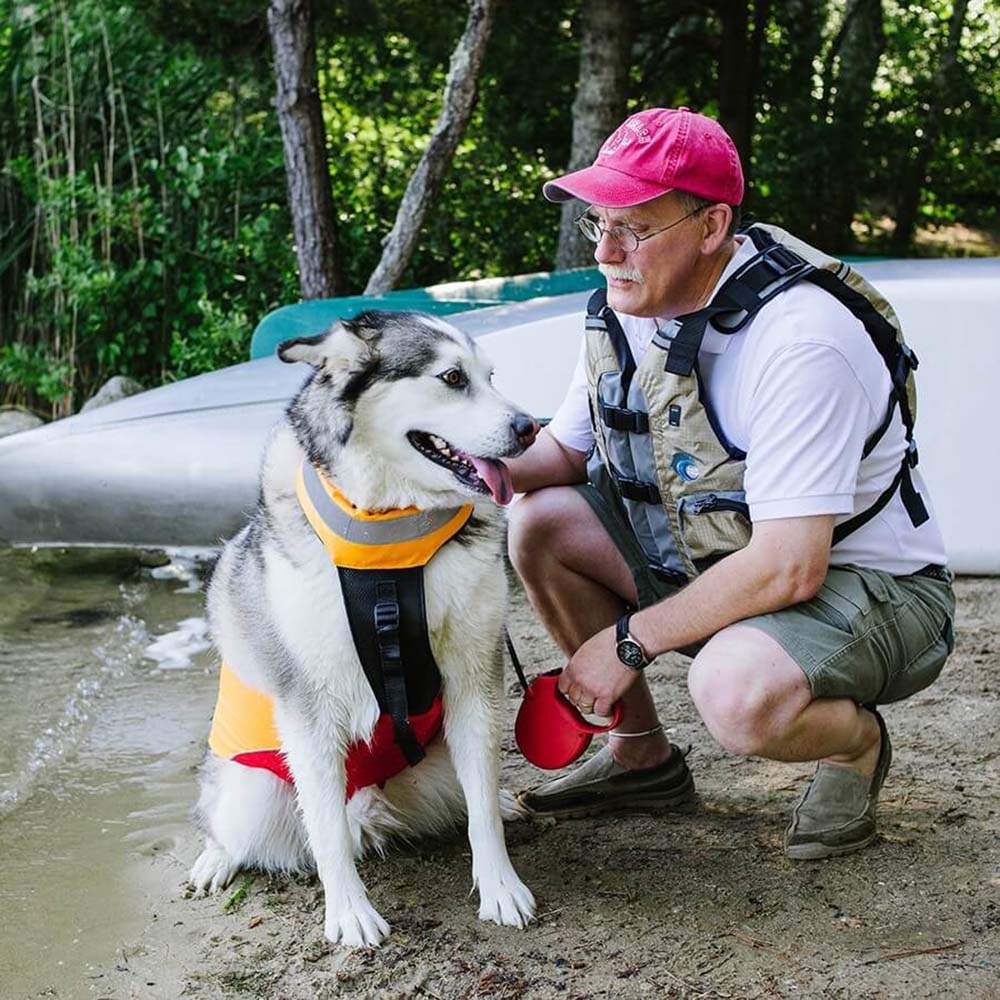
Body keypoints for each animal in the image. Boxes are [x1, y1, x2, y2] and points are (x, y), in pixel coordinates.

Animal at [194, 310, 540, 944]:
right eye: (453, 378)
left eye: (491, 376)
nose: (530, 427)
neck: (392, 538)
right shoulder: (310, 710)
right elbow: (326, 830)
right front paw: (350, 913)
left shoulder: (474, 678)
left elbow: (480, 808)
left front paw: (500, 886)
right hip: (252, 794)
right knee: (234, 824)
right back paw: (216, 857)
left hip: (434, 769)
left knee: (465, 794)